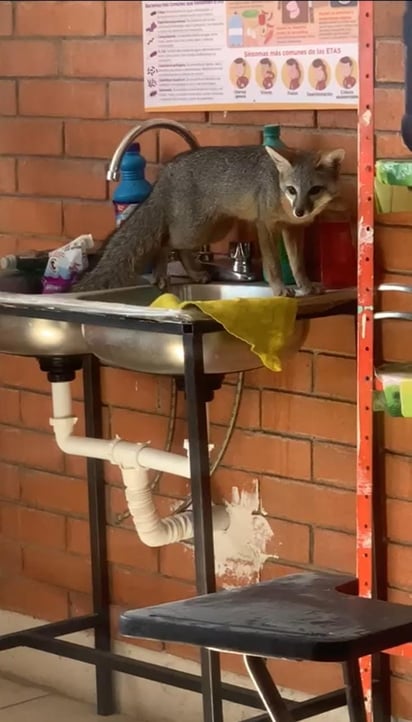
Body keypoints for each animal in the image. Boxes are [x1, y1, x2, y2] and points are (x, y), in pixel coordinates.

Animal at [74, 143, 344, 296]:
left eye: (314, 190)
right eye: (292, 190)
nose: (300, 211)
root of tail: (167, 171)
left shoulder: (293, 229)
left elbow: (298, 264)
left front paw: (306, 286)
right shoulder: (264, 224)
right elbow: (274, 264)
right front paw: (279, 289)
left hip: (214, 230)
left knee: (179, 248)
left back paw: (195, 275)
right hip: (195, 230)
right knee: (166, 243)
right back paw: (163, 275)